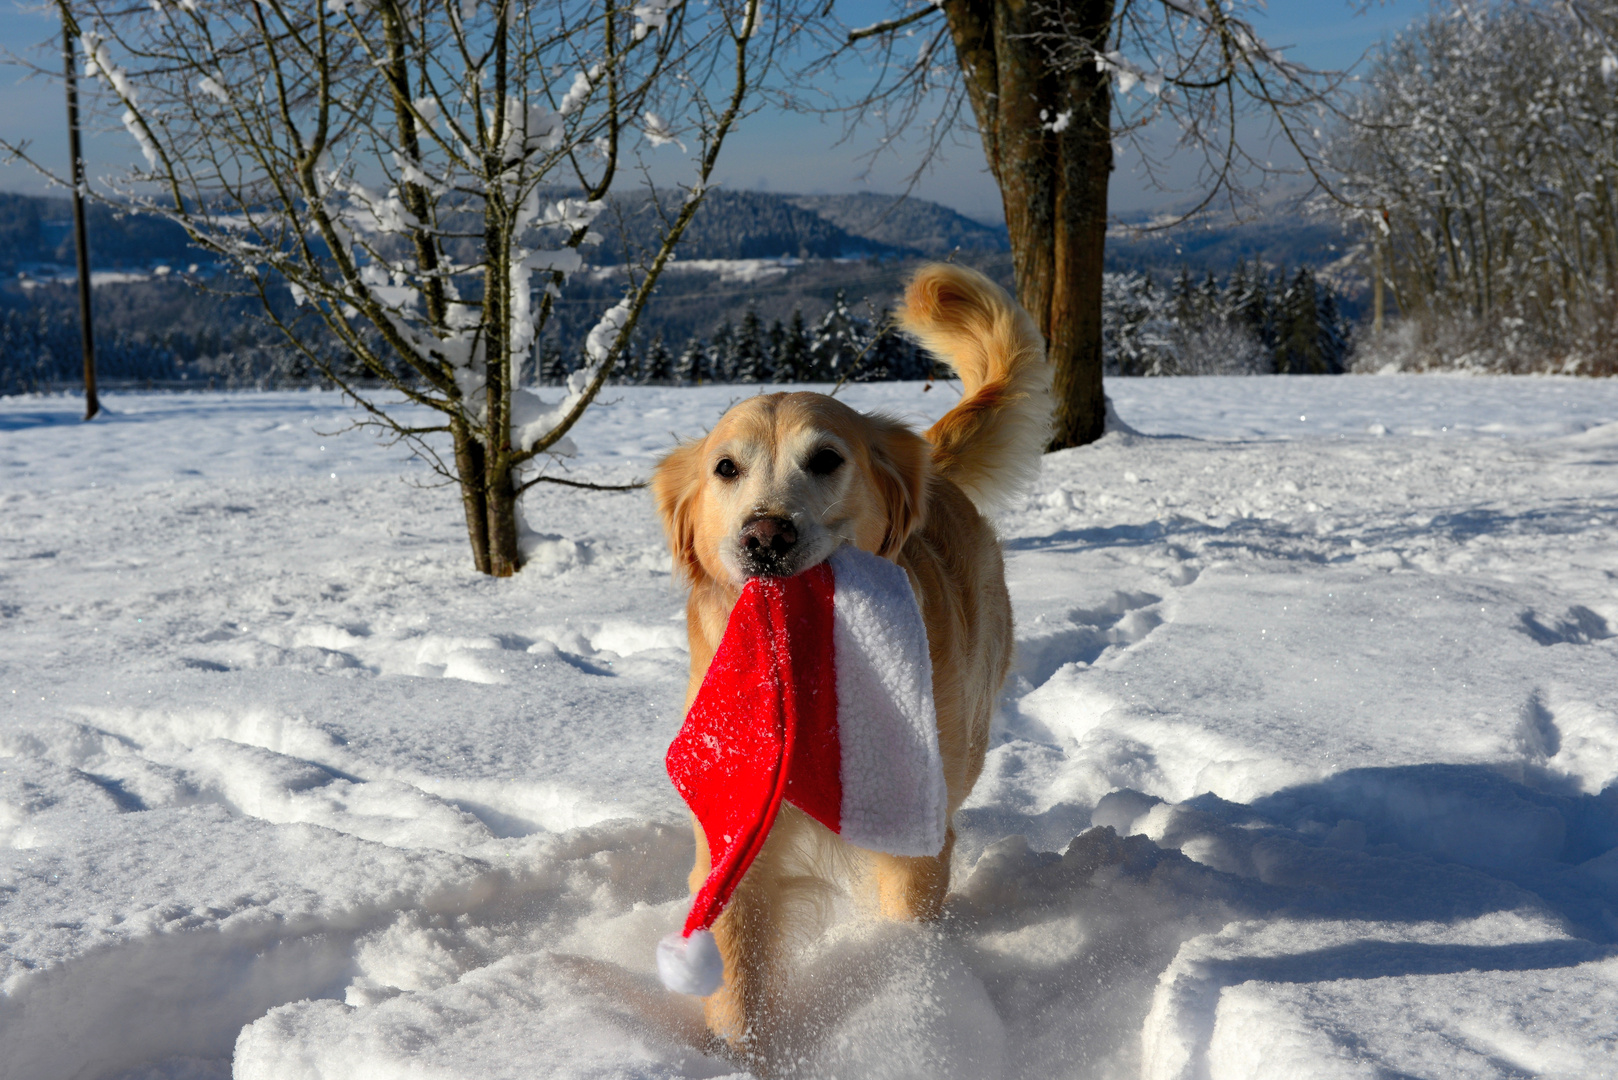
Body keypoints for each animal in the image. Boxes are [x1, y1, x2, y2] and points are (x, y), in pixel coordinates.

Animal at [650, 263, 1054, 1062]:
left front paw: (916, 1007)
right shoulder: (737, 820)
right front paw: (741, 1055)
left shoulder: (912, 835)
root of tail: (930, 465)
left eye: (827, 460)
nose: (765, 536)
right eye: (725, 468)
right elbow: (736, 972)